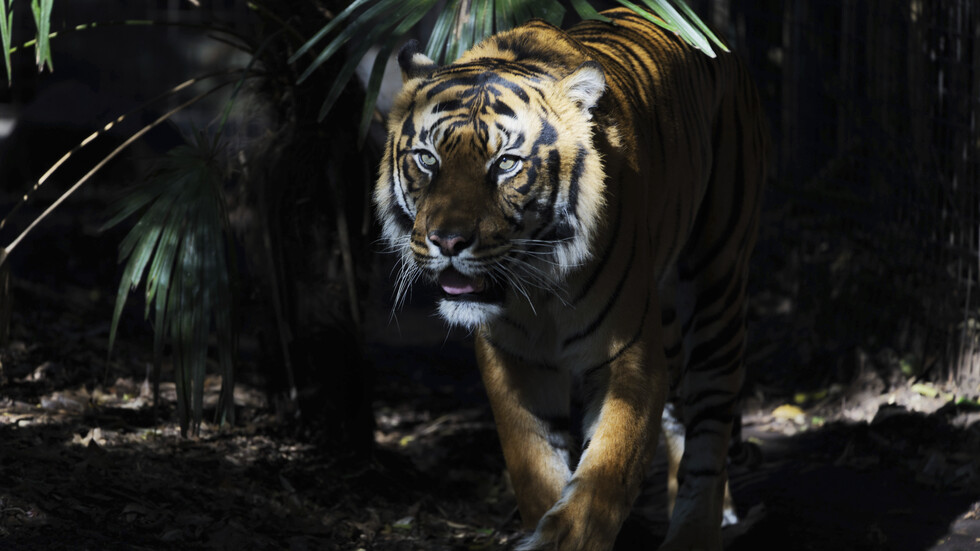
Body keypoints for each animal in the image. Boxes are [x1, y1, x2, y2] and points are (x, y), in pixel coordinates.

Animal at [376, 5, 764, 551]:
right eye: (428, 159)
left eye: (506, 164)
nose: (448, 241)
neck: (536, 290)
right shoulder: (512, 361)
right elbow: (535, 468)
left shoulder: (629, 357)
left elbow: (605, 476)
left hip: (717, 282)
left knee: (711, 423)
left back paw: (697, 529)